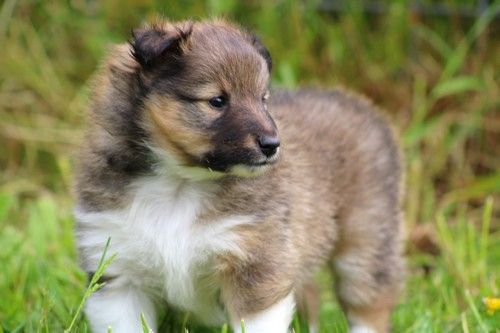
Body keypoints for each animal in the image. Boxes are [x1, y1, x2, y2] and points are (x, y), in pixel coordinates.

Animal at [73, 18, 402, 332]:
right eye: (217, 100)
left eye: (263, 98)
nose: (272, 145)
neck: (179, 183)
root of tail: (356, 101)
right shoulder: (117, 272)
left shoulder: (256, 263)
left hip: (365, 240)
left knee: (369, 303)